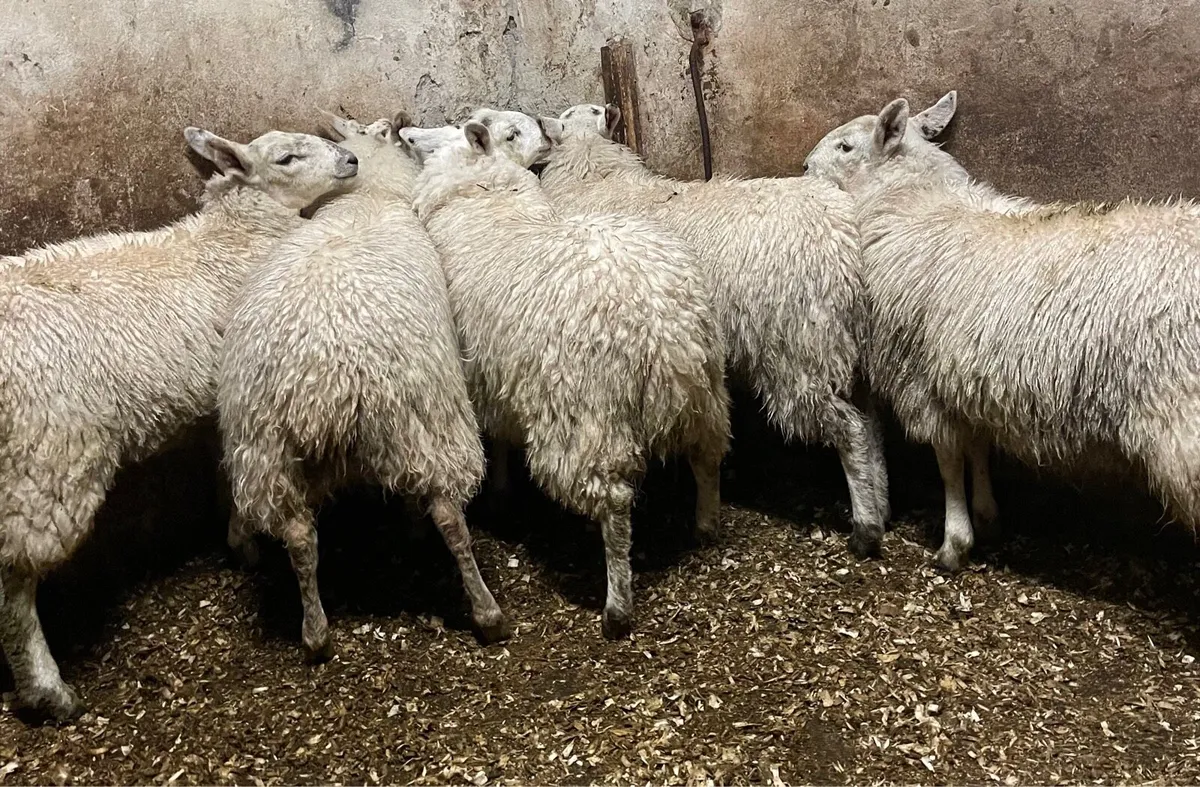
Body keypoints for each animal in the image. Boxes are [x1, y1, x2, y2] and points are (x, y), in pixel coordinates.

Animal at [0, 126, 357, 722]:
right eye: (287, 157)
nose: (351, 160)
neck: (230, 240)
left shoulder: (219, 404)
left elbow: (223, 468)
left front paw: (237, 539)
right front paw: (244, 541)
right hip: (47, 460)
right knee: (14, 585)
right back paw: (47, 690)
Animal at [218, 111, 508, 661]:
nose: (349, 158)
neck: (369, 194)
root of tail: (320, 386)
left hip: (266, 451)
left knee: (299, 538)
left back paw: (315, 633)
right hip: (426, 419)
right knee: (448, 517)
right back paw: (486, 612)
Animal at [401, 120, 731, 638]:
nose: (406, 133)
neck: (485, 193)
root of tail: (660, 324)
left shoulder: (484, 377)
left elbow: (498, 440)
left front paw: (499, 492)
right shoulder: (500, 374)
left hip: (585, 416)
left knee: (614, 504)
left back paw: (616, 608)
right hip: (705, 394)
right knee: (707, 457)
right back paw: (706, 526)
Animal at [462, 105, 890, 559]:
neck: (593, 166)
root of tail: (845, 239)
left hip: (801, 350)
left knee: (850, 431)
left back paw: (865, 529)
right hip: (852, 349)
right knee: (872, 429)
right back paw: (880, 506)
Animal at [804, 90, 1200, 571]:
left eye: (845, 147)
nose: (804, 166)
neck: (913, 205)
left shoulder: (923, 380)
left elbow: (948, 462)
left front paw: (954, 544)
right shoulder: (968, 379)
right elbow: (977, 447)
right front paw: (987, 517)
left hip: (1182, 418)